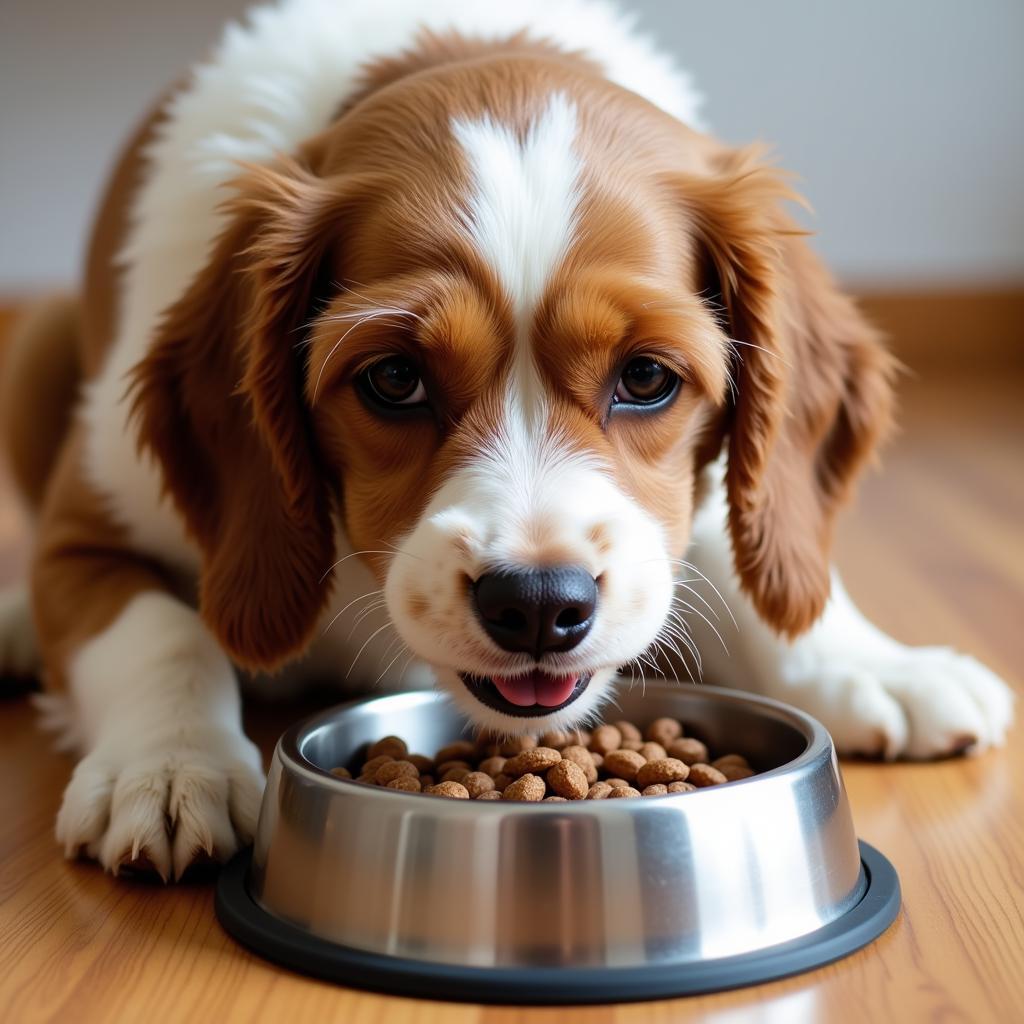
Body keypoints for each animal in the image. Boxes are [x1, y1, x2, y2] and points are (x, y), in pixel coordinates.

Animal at [0, 0, 1007, 880]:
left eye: (648, 378)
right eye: (393, 379)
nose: (537, 605)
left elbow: (733, 546)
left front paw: (869, 664)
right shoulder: (87, 532)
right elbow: (162, 633)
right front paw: (171, 768)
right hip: (41, 347)